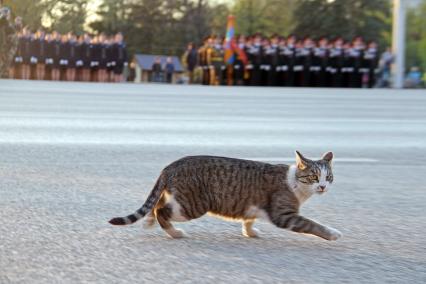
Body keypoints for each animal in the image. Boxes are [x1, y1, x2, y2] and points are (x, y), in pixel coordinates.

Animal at [108, 152, 342, 241]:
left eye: (328, 177)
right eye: (313, 177)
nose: (322, 186)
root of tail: (171, 165)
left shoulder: (252, 206)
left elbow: (248, 220)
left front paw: (250, 232)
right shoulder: (285, 215)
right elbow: (311, 224)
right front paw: (332, 233)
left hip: (180, 197)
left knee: (158, 202)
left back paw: (149, 222)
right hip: (194, 204)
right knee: (161, 210)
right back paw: (174, 233)